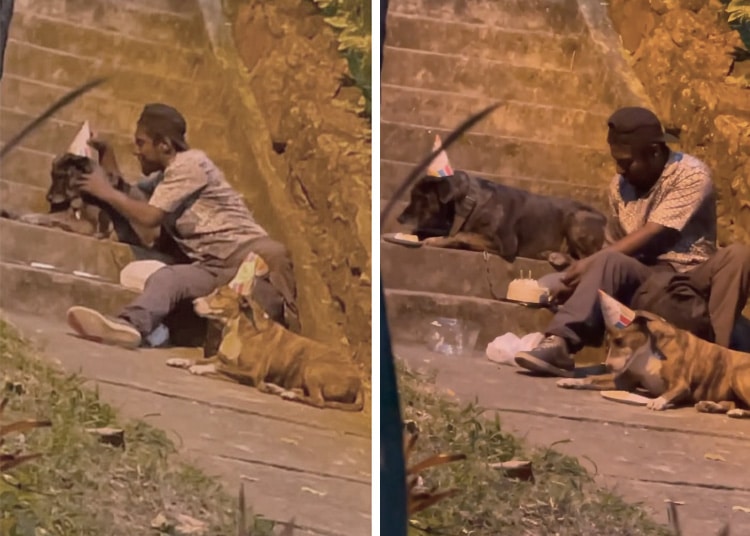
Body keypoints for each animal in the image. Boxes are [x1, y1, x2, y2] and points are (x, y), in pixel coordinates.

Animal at [170, 286, 370, 412]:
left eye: (219, 294)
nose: (193, 302)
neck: (238, 328)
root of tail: (359, 382)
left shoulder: (252, 373)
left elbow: (217, 367)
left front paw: (199, 368)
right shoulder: (222, 358)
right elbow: (204, 359)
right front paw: (181, 360)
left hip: (313, 367)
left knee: (319, 401)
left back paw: (288, 394)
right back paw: (278, 389)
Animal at [396, 172, 608, 268]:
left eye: (419, 197)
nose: (399, 218)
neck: (470, 201)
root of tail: (604, 220)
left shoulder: (506, 244)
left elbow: (462, 235)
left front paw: (436, 240)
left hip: (578, 219)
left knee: (589, 259)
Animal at [560, 310, 750, 418]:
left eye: (620, 341)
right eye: (606, 344)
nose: (609, 366)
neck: (646, 350)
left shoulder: (680, 384)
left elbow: (670, 392)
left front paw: (657, 401)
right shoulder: (624, 380)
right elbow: (592, 379)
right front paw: (572, 381)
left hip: (738, 376)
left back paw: (736, 412)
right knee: (732, 403)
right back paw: (711, 405)